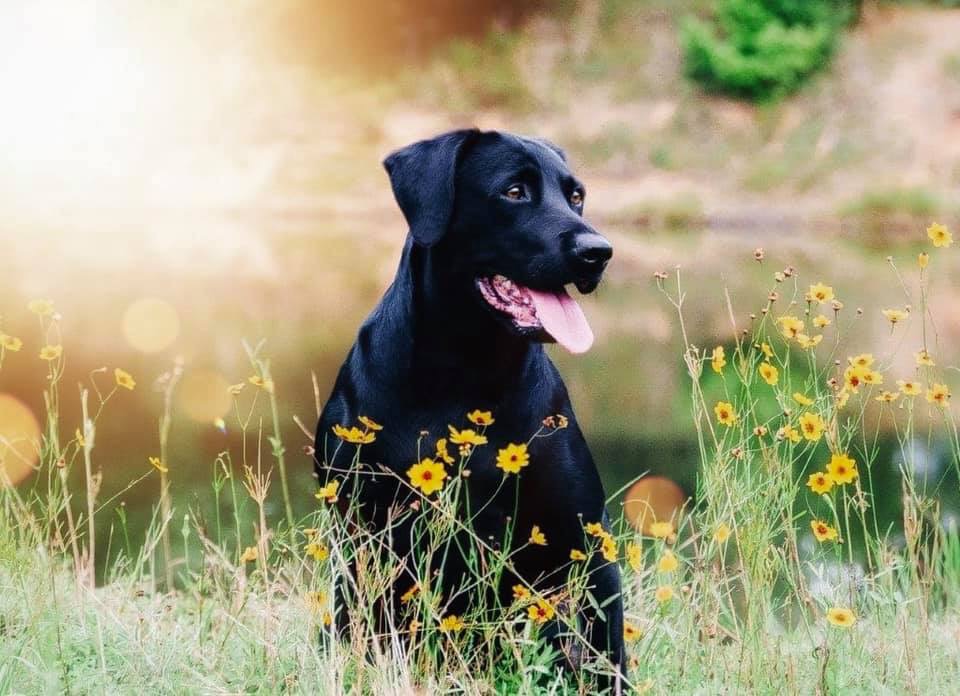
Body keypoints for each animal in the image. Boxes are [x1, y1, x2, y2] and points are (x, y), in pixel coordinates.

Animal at [316, 129, 624, 684]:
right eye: (514, 192)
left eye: (576, 196)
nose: (599, 251)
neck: (465, 369)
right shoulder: (362, 533)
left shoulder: (585, 536)